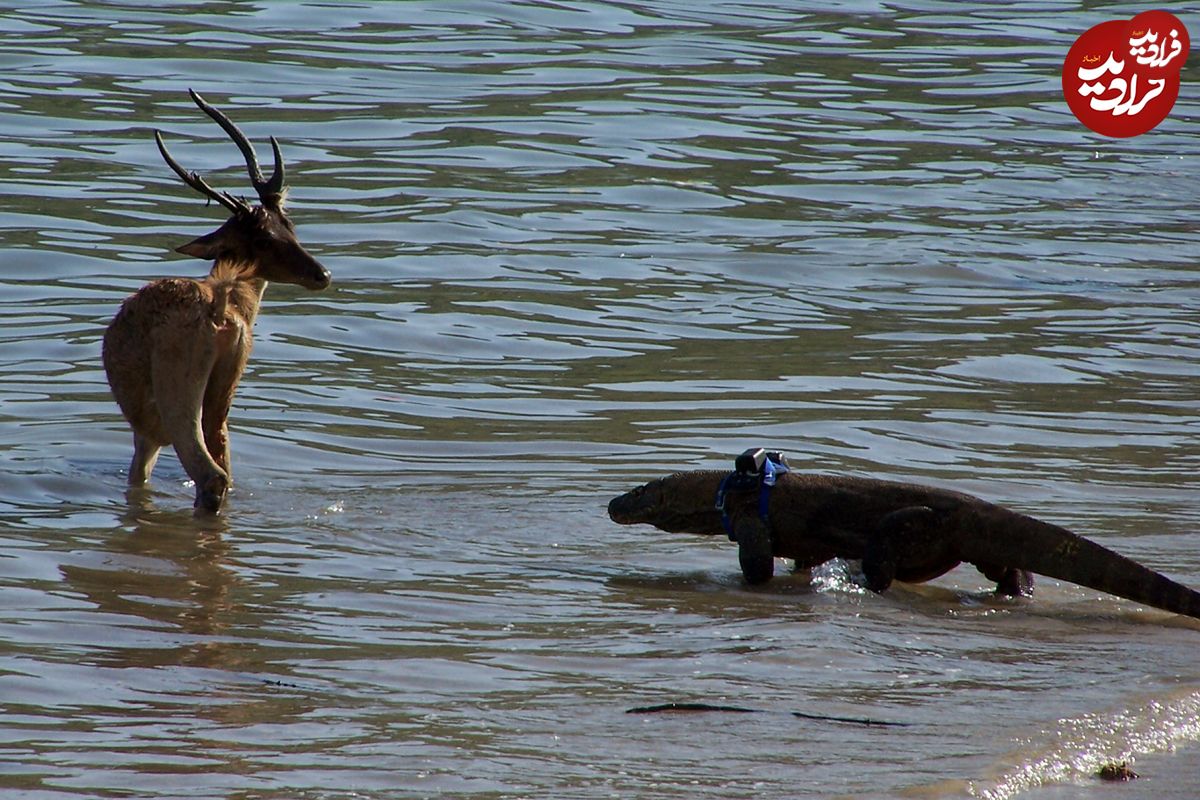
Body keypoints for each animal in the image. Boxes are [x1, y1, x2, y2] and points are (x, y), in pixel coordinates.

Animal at [100, 87, 328, 513]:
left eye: (289, 226)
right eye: (270, 235)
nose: (322, 274)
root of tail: (219, 309)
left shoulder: (145, 431)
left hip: (175, 388)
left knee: (211, 474)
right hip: (224, 386)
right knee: (224, 464)